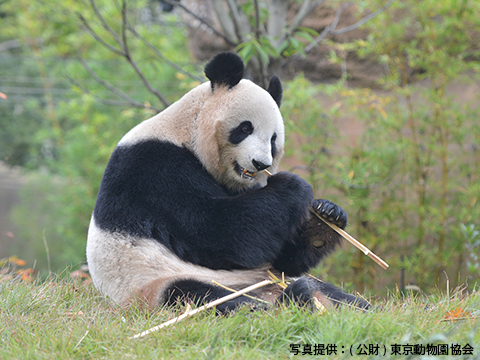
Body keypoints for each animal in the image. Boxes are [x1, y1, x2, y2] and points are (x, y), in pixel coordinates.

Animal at [87, 51, 372, 312]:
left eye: (273, 139)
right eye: (245, 128)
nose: (261, 164)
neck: (185, 130)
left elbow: (282, 256)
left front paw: (327, 214)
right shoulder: (155, 172)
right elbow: (221, 233)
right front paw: (293, 186)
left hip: (267, 277)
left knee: (335, 294)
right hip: (156, 283)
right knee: (207, 298)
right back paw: (289, 301)